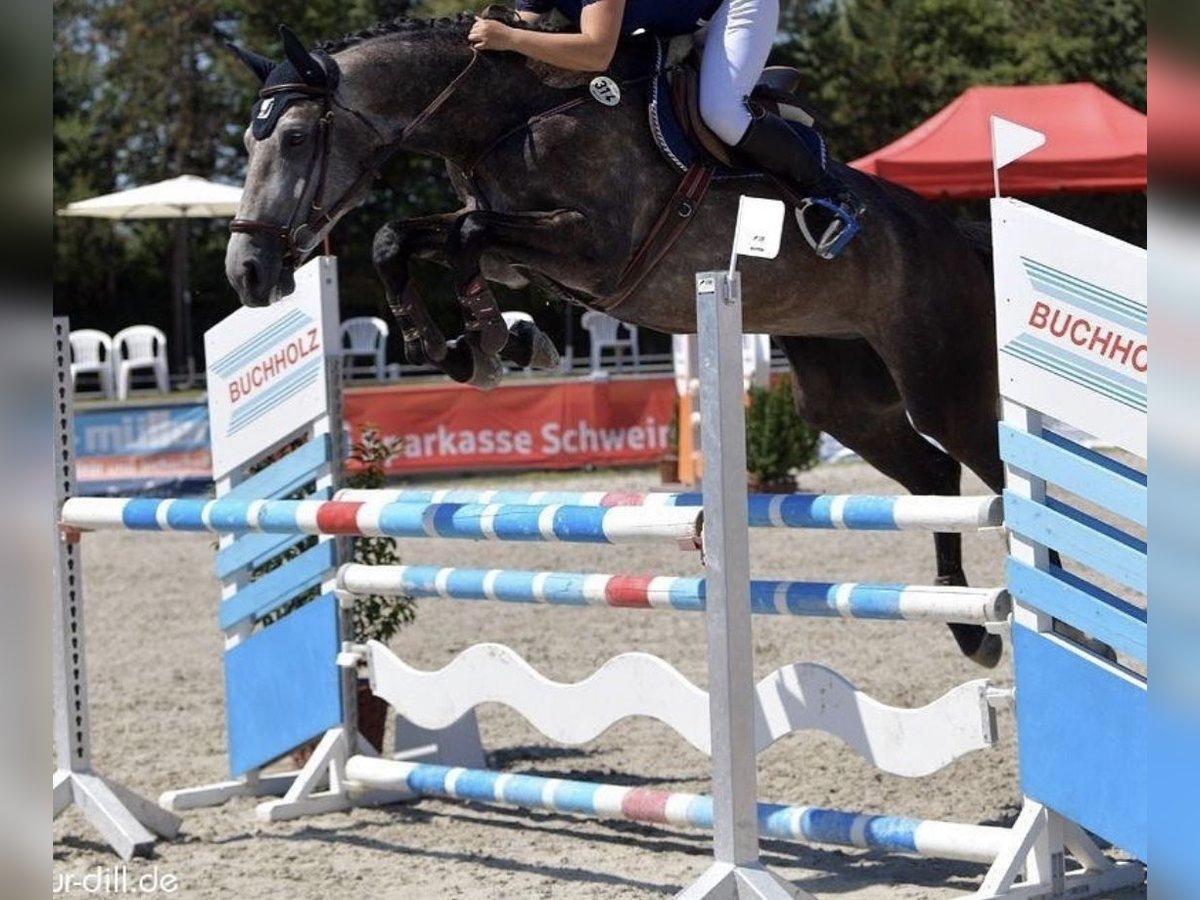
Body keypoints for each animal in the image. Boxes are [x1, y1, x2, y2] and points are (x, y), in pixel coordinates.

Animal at [224, 13, 1005, 667]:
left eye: (294, 138)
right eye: (249, 141)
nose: (248, 272)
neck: (508, 116)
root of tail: (954, 237)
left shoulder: (593, 250)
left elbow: (466, 235)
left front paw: (492, 342)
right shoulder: (520, 253)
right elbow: (405, 238)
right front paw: (476, 348)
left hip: (943, 384)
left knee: (990, 474)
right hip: (846, 397)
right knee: (935, 477)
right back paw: (967, 627)